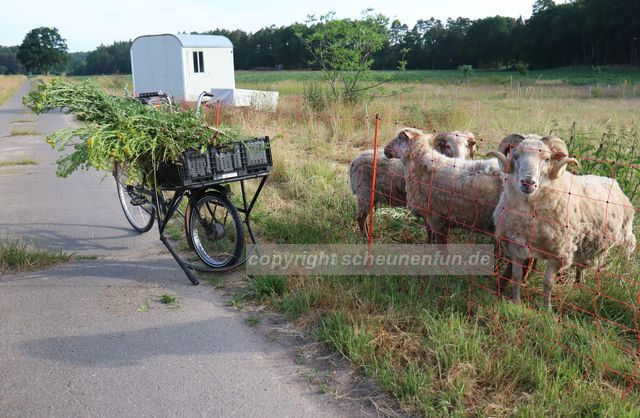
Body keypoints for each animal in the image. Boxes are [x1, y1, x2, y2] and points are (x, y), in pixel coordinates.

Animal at [348, 131, 478, 235]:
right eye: (447, 146)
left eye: (467, 146)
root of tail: (354, 161)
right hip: (364, 192)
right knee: (360, 217)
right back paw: (364, 236)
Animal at [490, 136, 636, 308]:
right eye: (516, 156)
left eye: (547, 159)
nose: (528, 183)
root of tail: (610, 179)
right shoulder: (515, 245)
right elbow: (517, 276)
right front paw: (516, 301)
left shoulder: (558, 253)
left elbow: (547, 283)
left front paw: (546, 309)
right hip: (586, 244)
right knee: (582, 264)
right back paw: (579, 283)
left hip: (624, 228)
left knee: (630, 244)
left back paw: (624, 269)